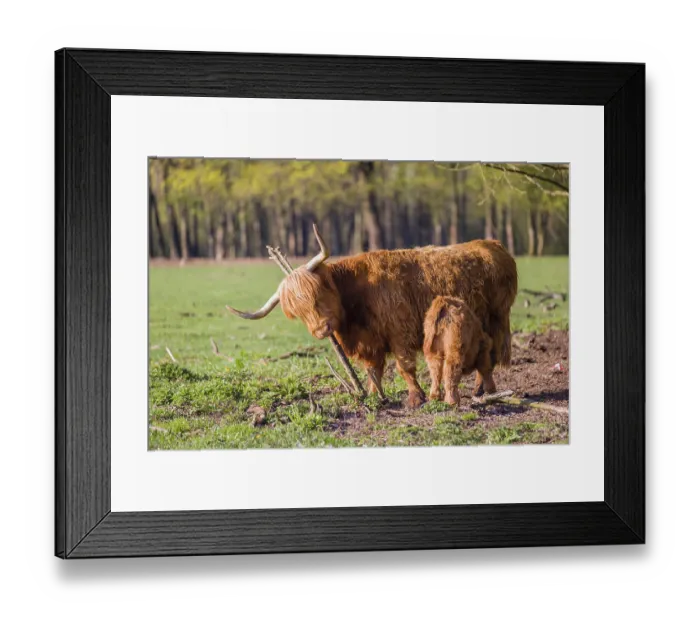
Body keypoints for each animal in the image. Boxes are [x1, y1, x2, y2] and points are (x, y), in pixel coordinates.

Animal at [227, 225, 517, 408]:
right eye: (297, 313)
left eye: (317, 296)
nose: (321, 329)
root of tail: (492, 244)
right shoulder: (370, 343)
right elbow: (373, 370)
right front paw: (372, 395)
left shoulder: (399, 331)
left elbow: (404, 367)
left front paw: (415, 398)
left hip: (497, 318)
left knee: (489, 355)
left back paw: (483, 390)